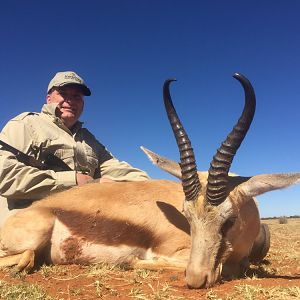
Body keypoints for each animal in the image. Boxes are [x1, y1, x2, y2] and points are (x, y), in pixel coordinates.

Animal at [0, 73, 300, 288]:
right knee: (26, 256)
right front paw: (134, 262)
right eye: (186, 216)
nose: (196, 279)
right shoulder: (173, 253)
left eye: (230, 220)